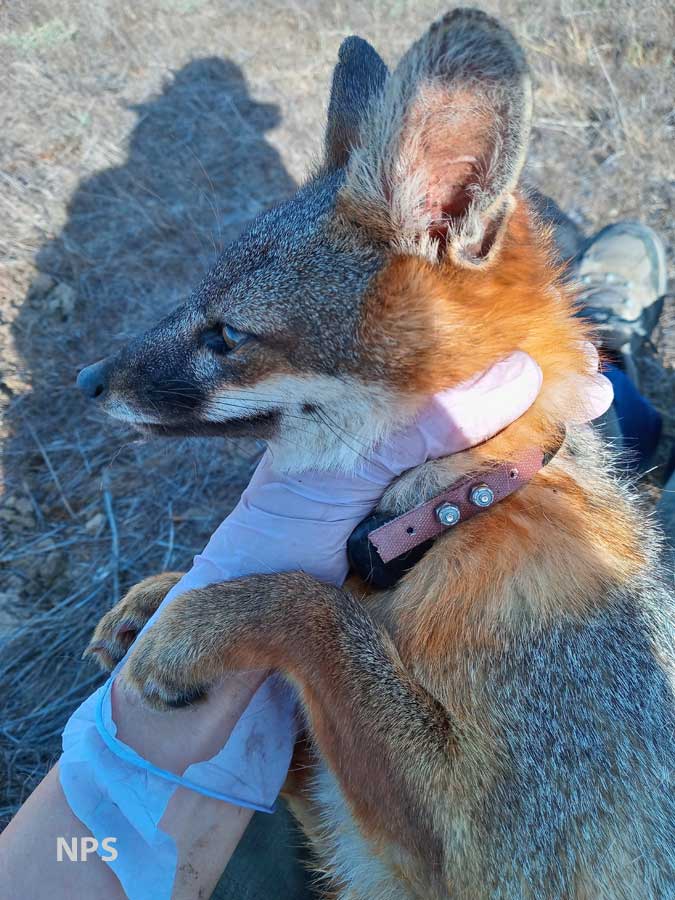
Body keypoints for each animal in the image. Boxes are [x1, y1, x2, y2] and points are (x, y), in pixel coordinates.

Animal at [77, 9, 675, 899]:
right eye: (192, 303)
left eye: (226, 336)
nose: (86, 381)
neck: (464, 506)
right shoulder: (360, 841)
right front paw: (159, 593)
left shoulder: (481, 859)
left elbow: (311, 605)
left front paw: (194, 620)